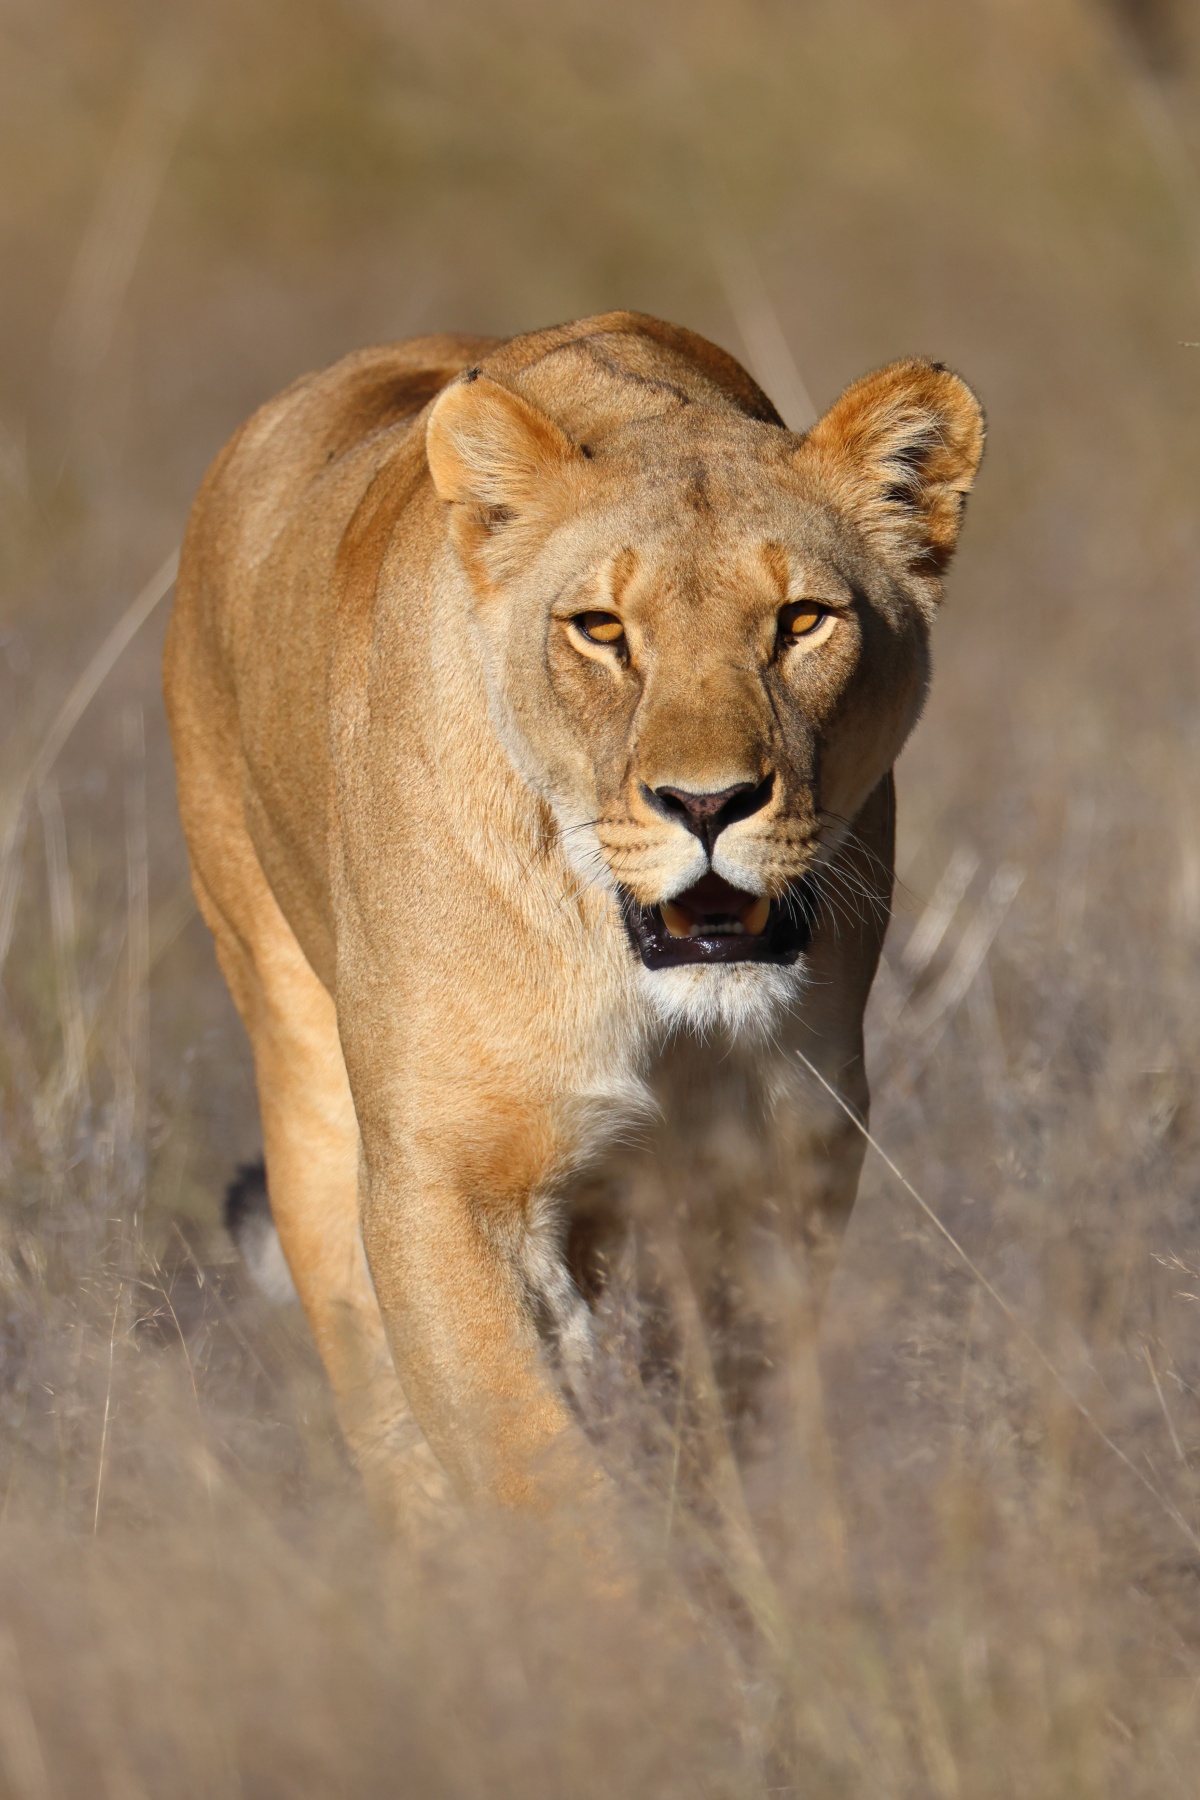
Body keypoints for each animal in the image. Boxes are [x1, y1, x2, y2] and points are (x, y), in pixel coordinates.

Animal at [164, 312, 983, 1525]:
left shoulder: (781, 1165)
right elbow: (538, 1478)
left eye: (801, 621)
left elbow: (705, 1431)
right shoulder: (445, 1173)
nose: (707, 804)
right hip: (296, 1063)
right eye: (601, 629)